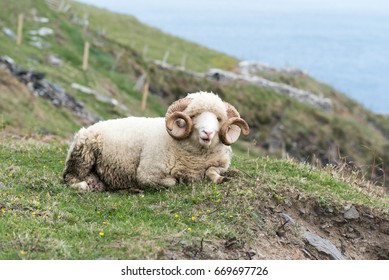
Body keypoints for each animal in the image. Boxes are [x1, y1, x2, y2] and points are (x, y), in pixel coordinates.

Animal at [60, 92, 249, 192]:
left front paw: (220, 179)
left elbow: (212, 171)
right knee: (70, 178)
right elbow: (172, 182)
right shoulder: (147, 174)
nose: (208, 133)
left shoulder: (221, 164)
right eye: (194, 115)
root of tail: (88, 128)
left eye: (218, 118)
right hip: (83, 155)